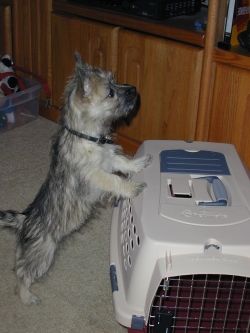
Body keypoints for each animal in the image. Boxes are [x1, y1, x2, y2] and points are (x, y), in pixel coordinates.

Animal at [0, 52, 152, 306]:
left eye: (115, 82)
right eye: (111, 92)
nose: (133, 89)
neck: (89, 135)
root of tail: (25, 220)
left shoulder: (110, 159)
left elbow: (123, 162)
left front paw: (140, 162)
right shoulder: (96, 174)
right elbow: (115, 181)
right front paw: (132, 187)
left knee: (18, 261)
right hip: (43, 253)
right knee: (22, 273)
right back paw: (26, 296)